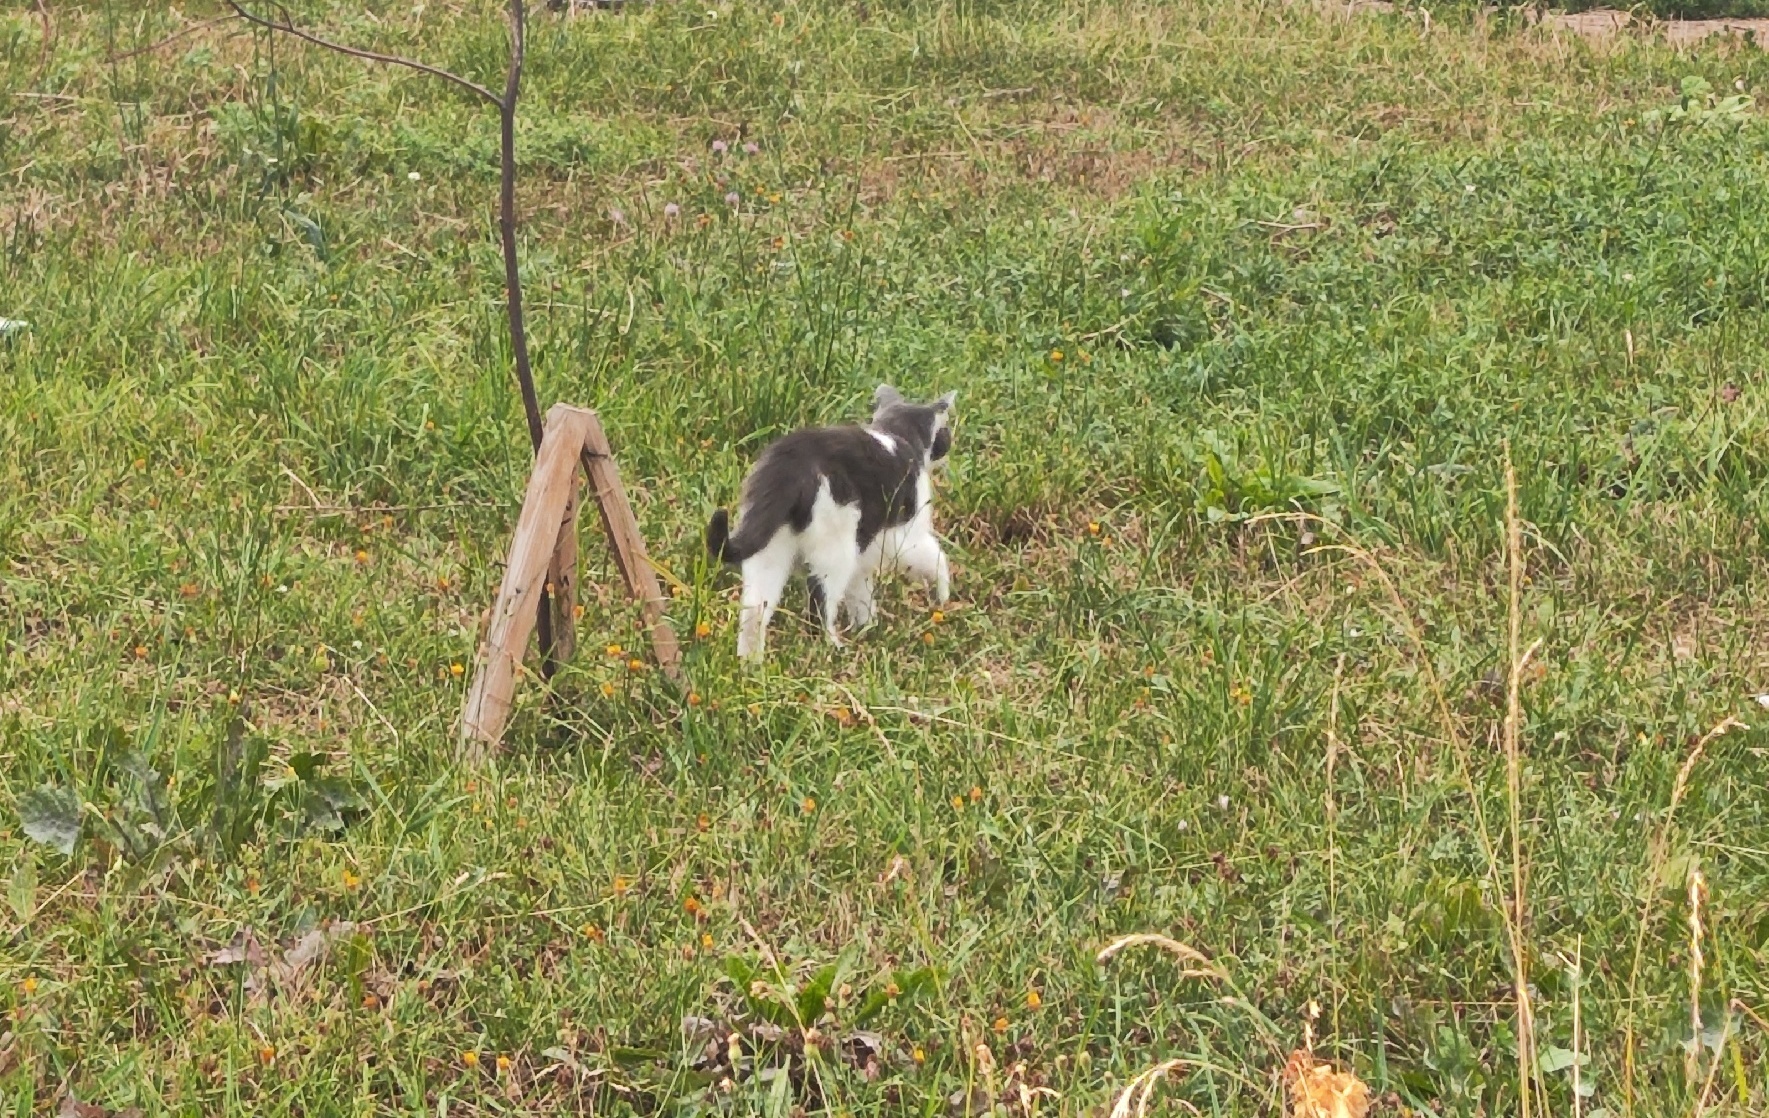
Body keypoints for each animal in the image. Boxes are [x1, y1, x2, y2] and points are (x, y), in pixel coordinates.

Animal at [704, 385, 955, 658]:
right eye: (945, 432)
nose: (948, 443)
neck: (898, 435)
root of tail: (788, 462)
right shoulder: (906, 536)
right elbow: (938, 559)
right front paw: (943, 598)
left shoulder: (865, 550)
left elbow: (861, 593)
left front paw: (867, 627)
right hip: (836, 548)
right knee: (820, 606)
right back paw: (833, 648)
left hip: (770, 547)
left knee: (755, 609)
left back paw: (751, 662)